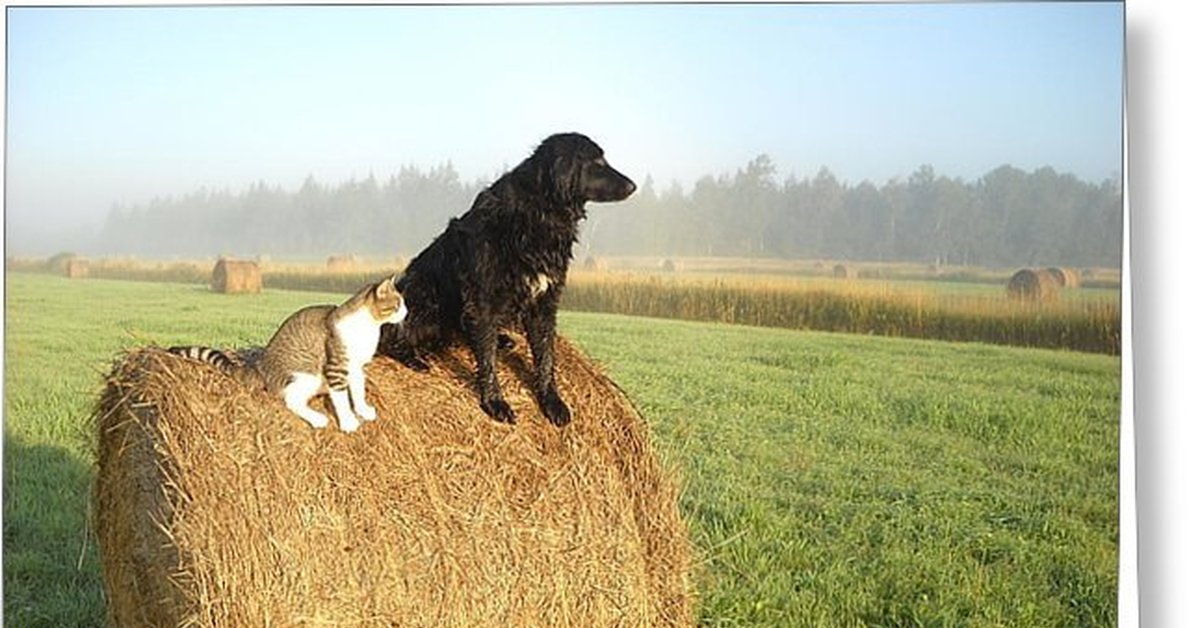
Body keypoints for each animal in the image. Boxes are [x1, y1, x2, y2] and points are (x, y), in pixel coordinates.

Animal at [168, 277, 408, 434]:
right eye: (397, 304)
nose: (407, 312)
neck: (369, 326)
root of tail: (259, 368)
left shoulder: (357, 368)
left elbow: (357, 393)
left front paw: (363, 411)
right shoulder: (336, 368)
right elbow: (341, 399)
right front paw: (348, 422)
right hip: (306, 376)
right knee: (291, 401)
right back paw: (317, 418)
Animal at [381, 134, 638, 425]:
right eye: (597, 162)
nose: (633, 186)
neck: (541, 212)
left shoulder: (544, 302)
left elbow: (546, 356)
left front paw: (552, 401)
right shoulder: (482, 300)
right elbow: (488, 360)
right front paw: (494, 402)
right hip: (421, 295)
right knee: (395, 335)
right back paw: (413, 356)